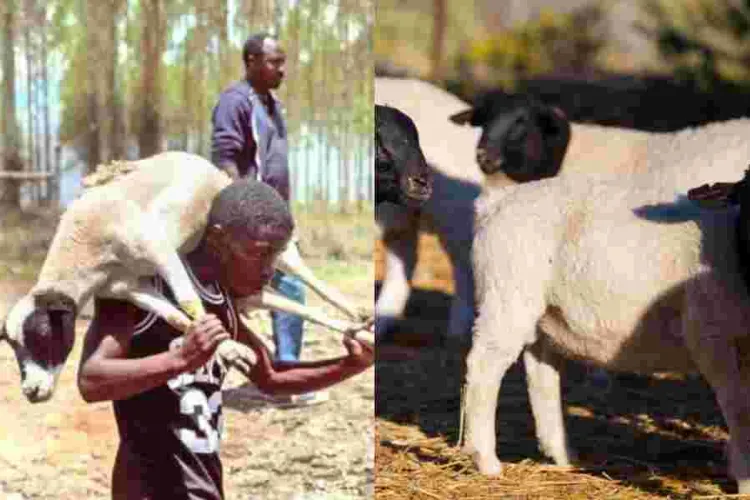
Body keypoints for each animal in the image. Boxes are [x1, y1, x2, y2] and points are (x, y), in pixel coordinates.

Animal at [463, 165, 750, 493]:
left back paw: (562, 454)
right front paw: (744, 477)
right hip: (507, 299)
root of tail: (498, 201)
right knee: (484, 368)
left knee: (541, 374)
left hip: (544, 314)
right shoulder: (710, 336)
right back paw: (486, 460)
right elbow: (738, 407)